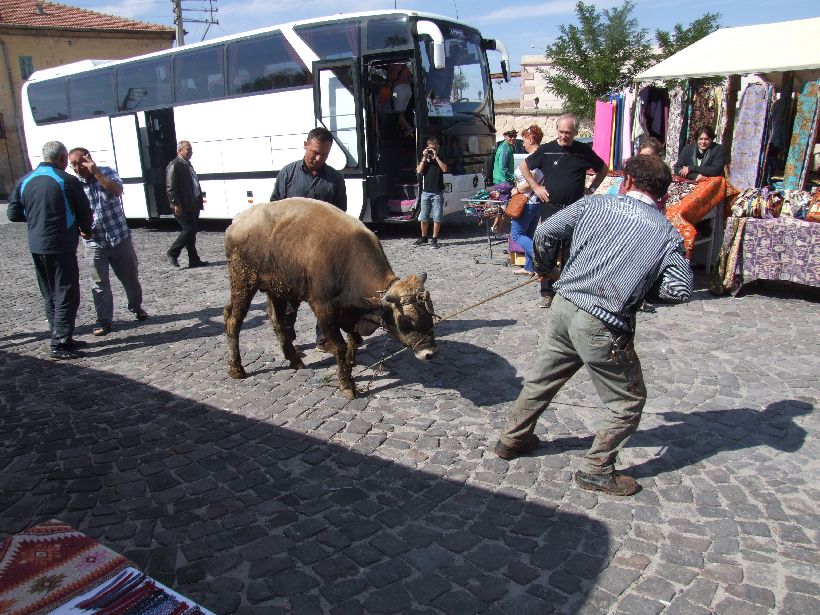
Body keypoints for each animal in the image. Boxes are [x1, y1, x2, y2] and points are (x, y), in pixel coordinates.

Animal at [221, 199, 438, 400]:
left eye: (430, 314)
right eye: (407, 323)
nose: (430, 353)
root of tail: (240, 219)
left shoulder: (352, 312)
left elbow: (354, 341)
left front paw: (350, 364)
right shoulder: (324, 309)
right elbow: (340, 346)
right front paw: (347, 385)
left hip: (276, 289)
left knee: (278, 322)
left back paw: (294, 360)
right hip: (243, 282)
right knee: (233, 320)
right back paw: (236, 368)